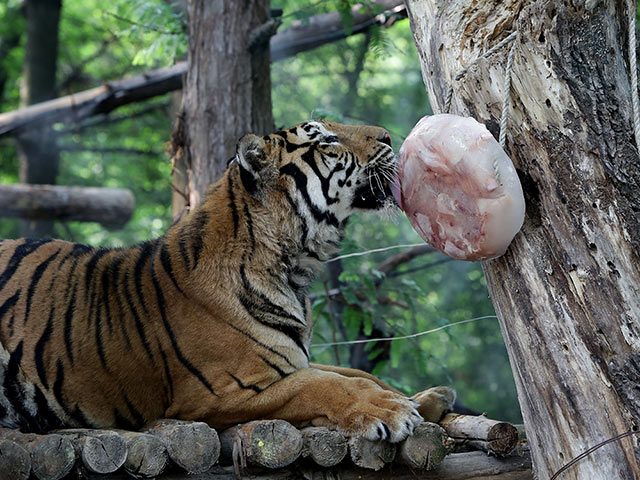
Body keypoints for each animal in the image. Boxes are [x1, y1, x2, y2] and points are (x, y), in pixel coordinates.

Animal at [0, 120, 456, 442]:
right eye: (327, 140)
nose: (388, 136)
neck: (294, 269)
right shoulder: (218, 393)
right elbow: (322, 385)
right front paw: (392, 410)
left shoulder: (296, 356)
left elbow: (354, 372)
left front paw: (425, 399)